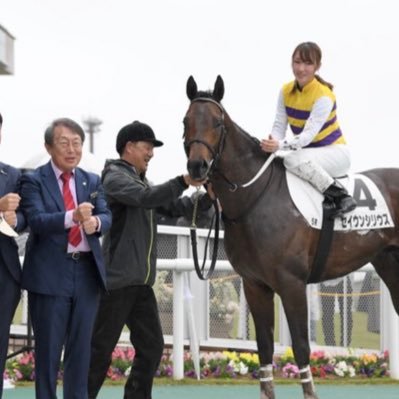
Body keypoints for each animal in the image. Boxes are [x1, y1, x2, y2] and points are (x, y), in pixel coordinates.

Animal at [183, 76, 399, 399]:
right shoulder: (254, 284)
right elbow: (264, 346)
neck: (255, 197)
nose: (197, 167)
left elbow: (300, 346)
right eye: (185, 121)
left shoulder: (292, 283)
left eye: (218, 123)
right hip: (389, 264)